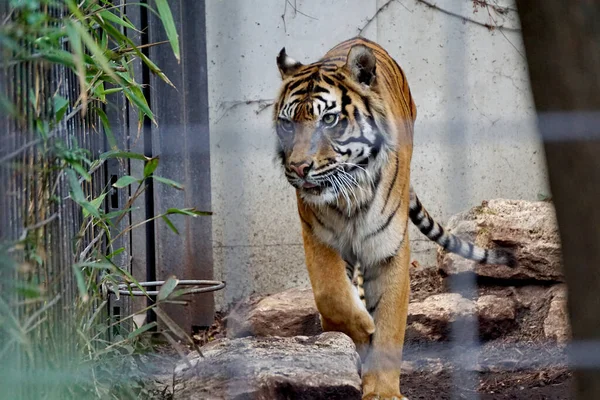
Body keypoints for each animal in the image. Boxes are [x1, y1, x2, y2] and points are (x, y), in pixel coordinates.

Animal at [274, 36, 512, 398]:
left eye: (328, 120)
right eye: (287, 123)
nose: (299, 168)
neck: (350, 195)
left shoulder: (389, 249)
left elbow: (389, 323)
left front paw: (383, 390)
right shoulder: (318, 238)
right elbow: (332, 295)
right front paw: (357, 330)